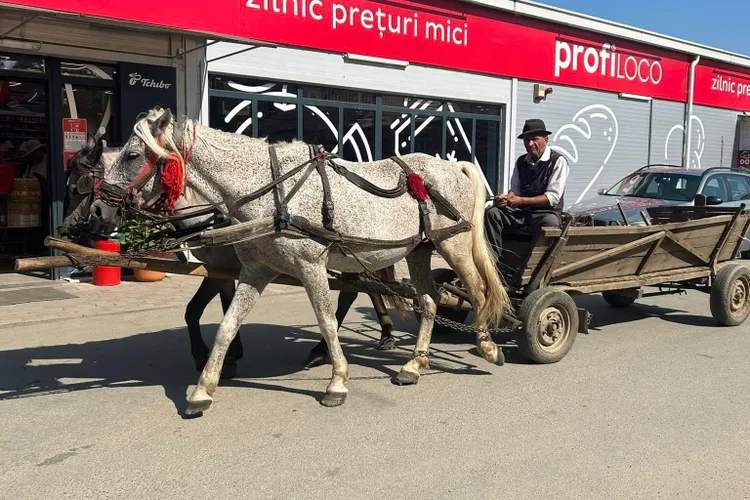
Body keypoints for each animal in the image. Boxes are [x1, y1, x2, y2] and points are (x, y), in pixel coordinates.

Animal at [61, 137, 408, 378]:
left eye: (80, 186)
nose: (69, 227)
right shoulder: (224, 269)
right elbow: (219, 306)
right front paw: (230, 353)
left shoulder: (223, 266)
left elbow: (193, 310)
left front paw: (207, 355)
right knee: (361, 290)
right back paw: (375, 335)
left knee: (355, 293)